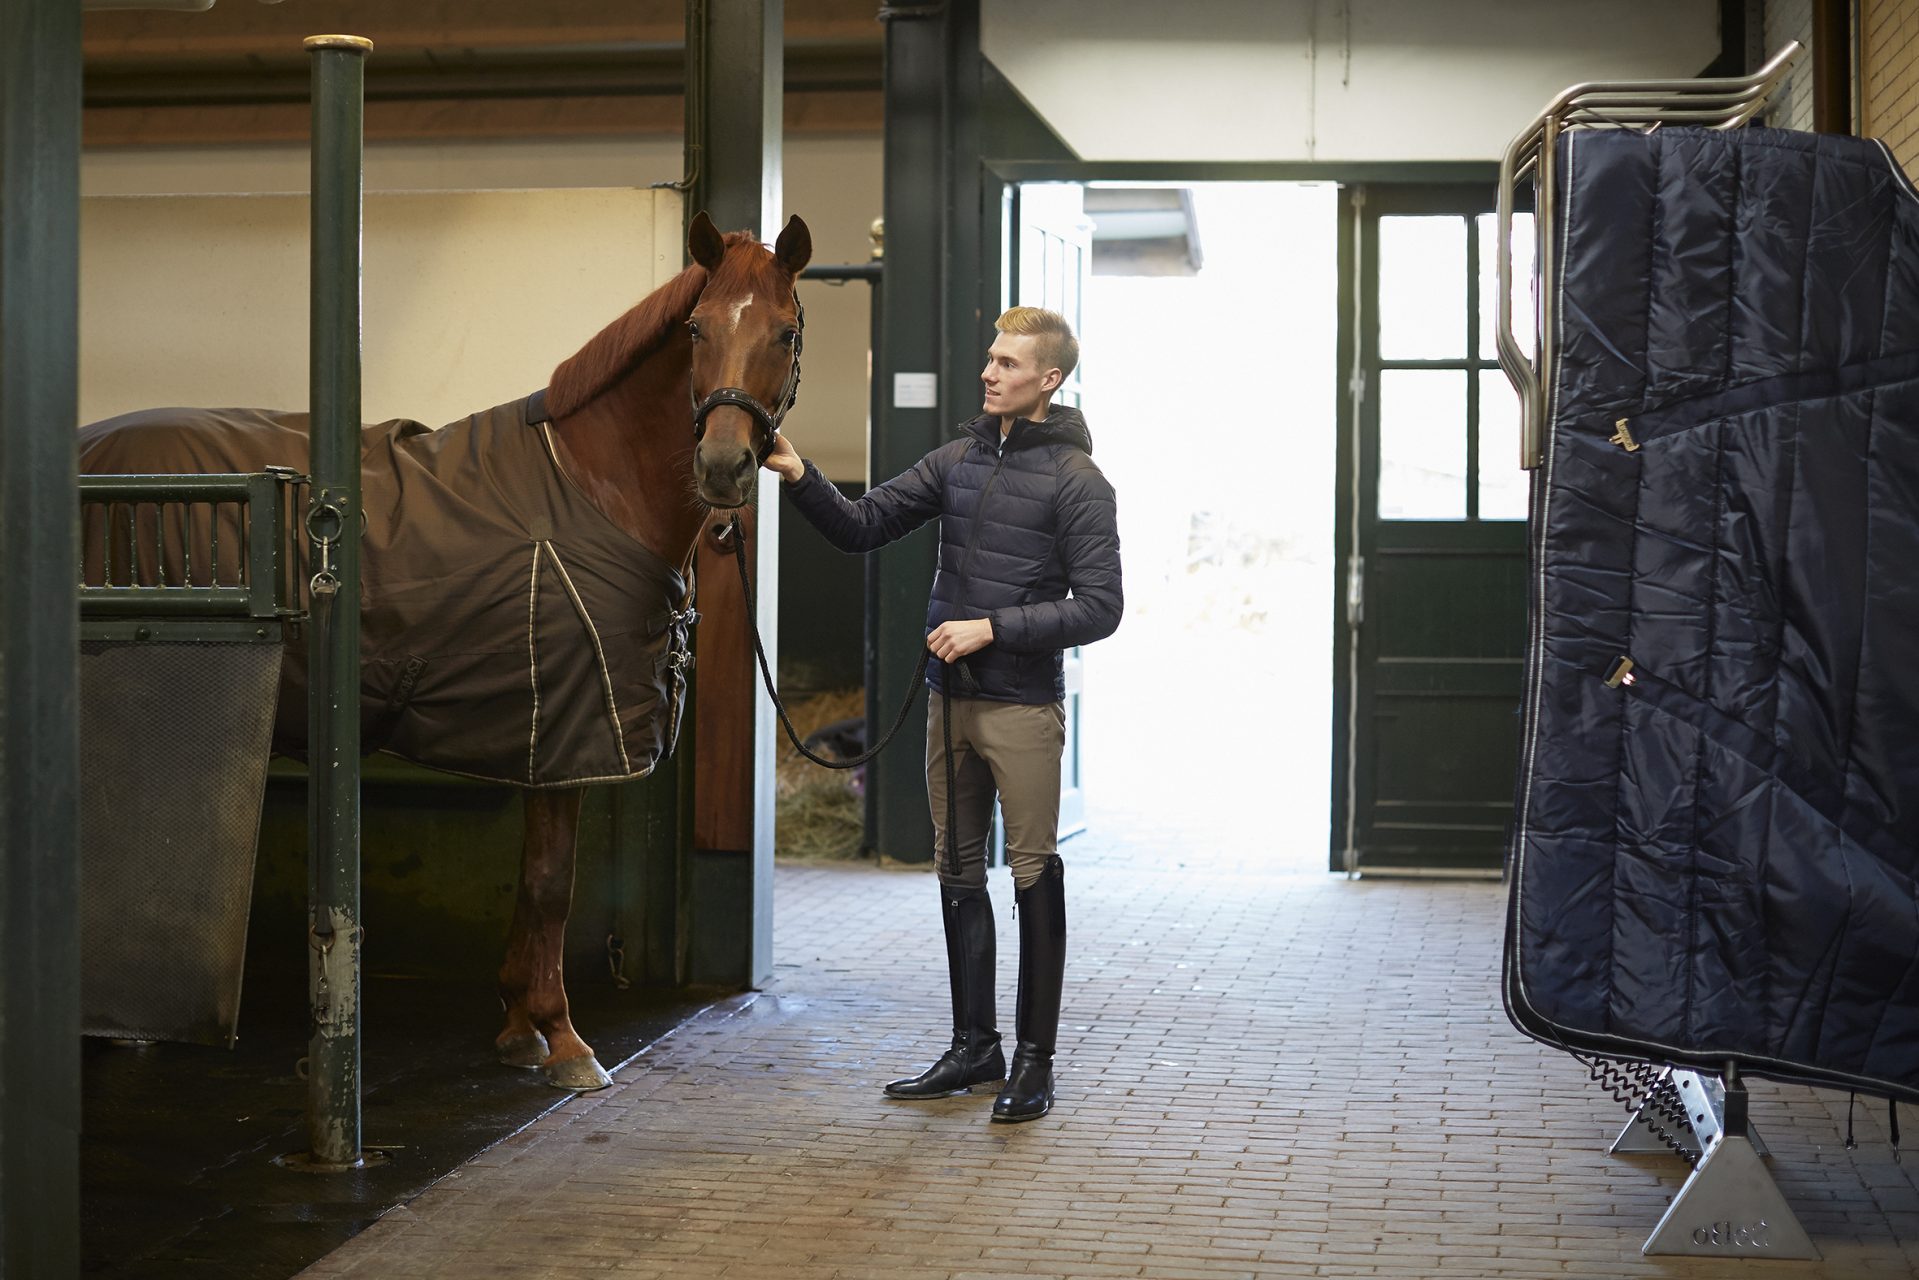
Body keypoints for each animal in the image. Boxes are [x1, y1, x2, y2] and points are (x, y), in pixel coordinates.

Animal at [78, 210, 813, 1090]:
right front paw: (562, 1038)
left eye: (785, 331)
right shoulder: (568, 733)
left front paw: (519, 1028)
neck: (593, 483)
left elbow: (533, 882)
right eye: (697, 329)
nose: (724, 466)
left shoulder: (542, 735)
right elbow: (550, 884)